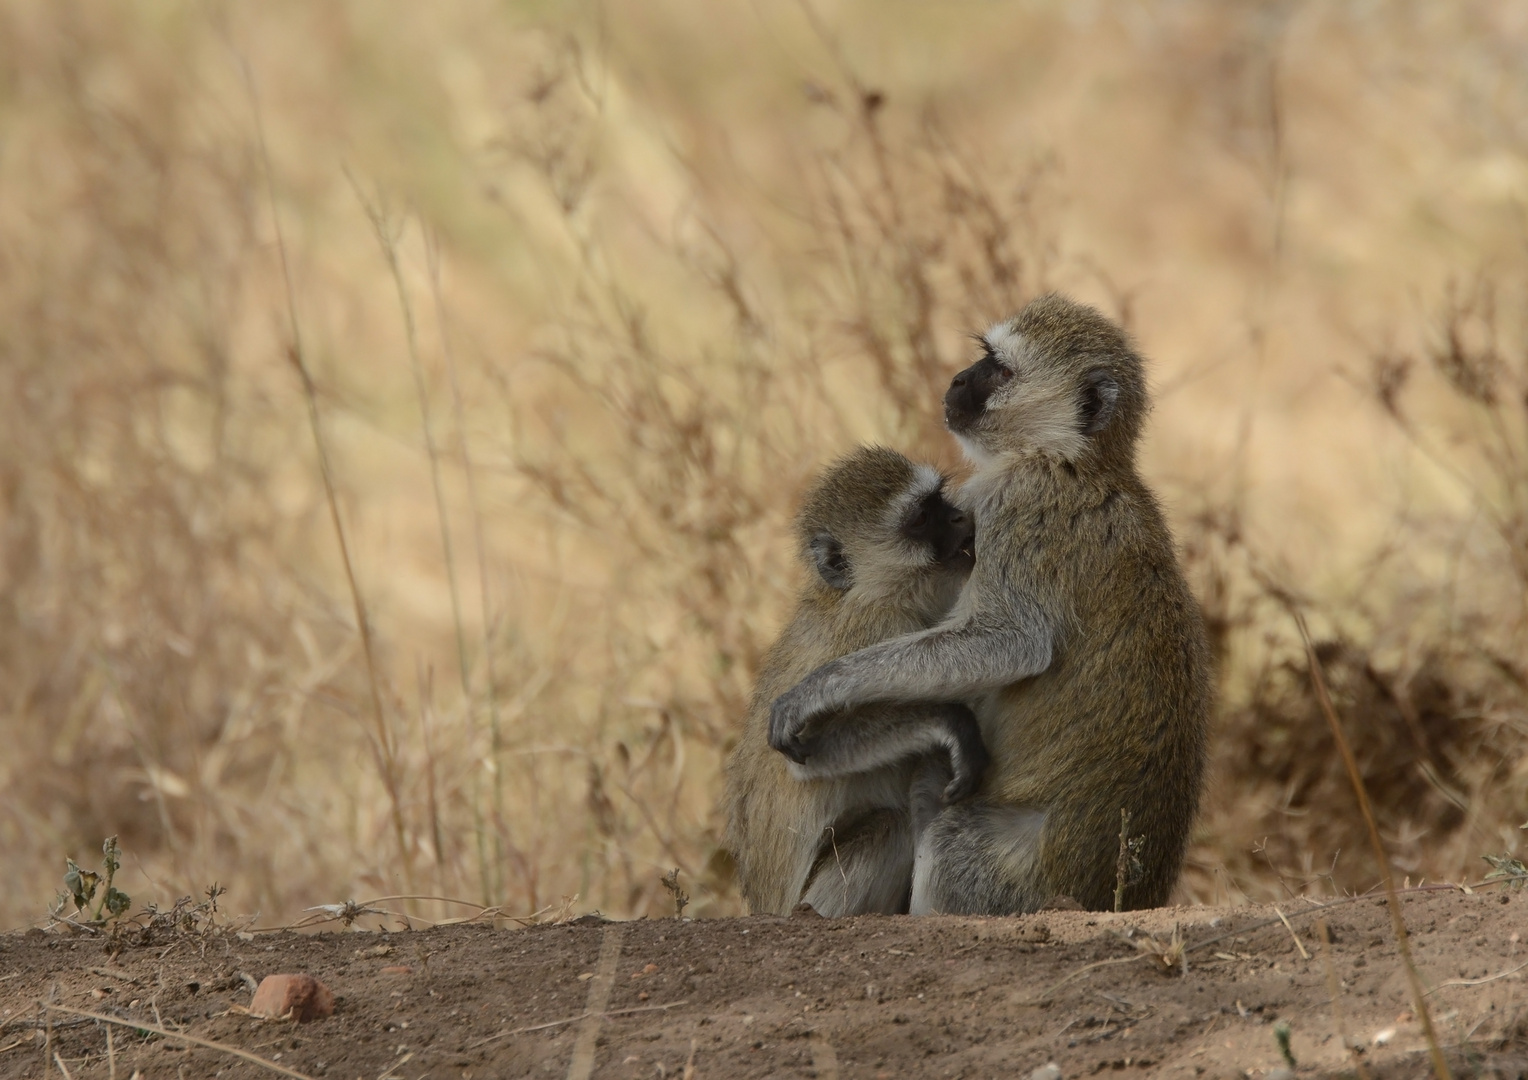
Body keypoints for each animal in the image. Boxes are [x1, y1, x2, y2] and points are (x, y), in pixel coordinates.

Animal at [721, 449, 984, 922]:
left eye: (939, 500)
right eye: (921, 518)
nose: (959, 516)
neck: (872, 594)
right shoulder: (877, 630)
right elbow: (807, 755)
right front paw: (949, 721)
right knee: (891, 827)